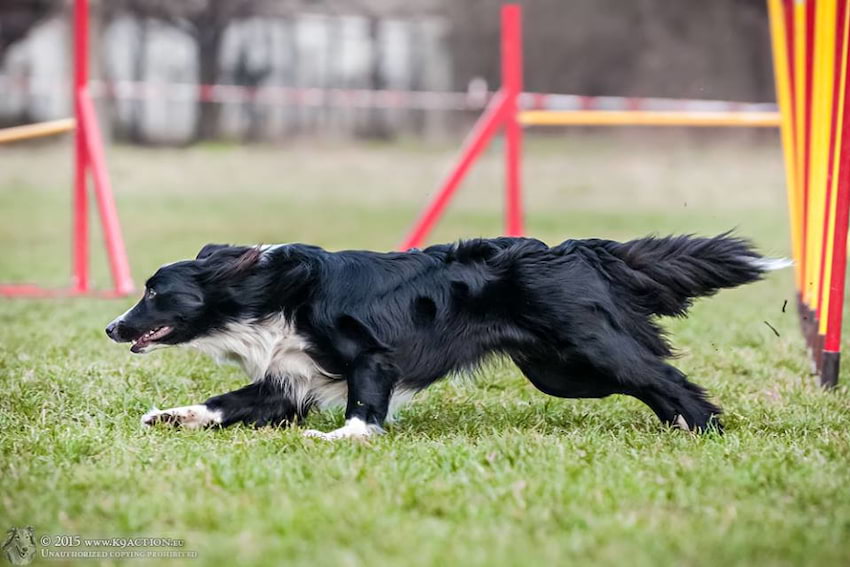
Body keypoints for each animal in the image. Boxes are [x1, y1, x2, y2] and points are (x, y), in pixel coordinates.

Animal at [107, 235, 788, 440]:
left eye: (153, 291)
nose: (111, 327)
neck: (271, 293)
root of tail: (577, 250)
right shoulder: (288, 380)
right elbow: (226, 403)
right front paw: (171, 416)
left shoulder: (372, 356)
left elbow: (364, 408)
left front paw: (342, 440)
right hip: (561, 372)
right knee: (653, 380)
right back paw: (682, 428)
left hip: (591, 351)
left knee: (663, 375)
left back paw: (705, 429)